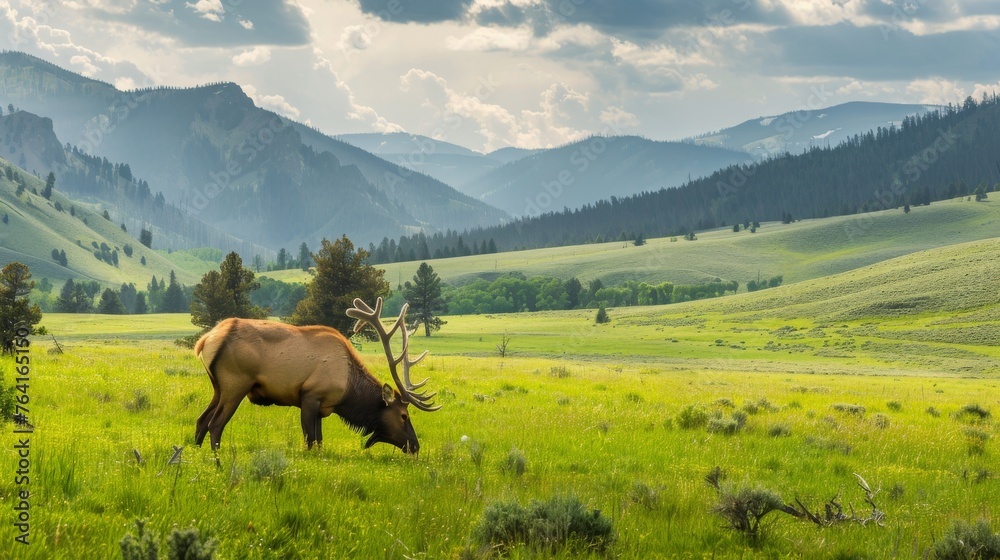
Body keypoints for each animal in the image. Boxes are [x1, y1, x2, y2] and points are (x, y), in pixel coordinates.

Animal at [193, 296, 440, 452]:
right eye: (404, 416)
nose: (415, 446)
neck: (348, 390)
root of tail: (205, 341)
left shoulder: (323, 407)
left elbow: (320, 441)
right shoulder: (310, 395)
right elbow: (310, 440)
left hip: (219, 387)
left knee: (201, 420)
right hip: (235, 384)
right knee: (215, 424)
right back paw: (218, 463)